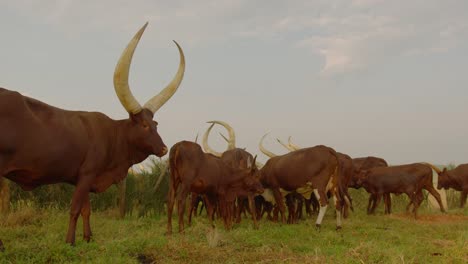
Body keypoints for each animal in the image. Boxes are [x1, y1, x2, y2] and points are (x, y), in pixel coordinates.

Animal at [0, 22, 186, 245]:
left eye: (155, 124)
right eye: (143, 125)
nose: (164, 148)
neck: (113, 136)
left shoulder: (84, 178)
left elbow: (86, 210)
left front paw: (88, 237)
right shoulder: (87, 174)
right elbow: (74, 209)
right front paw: (70, 242)